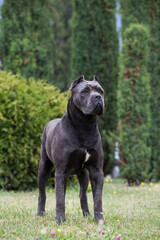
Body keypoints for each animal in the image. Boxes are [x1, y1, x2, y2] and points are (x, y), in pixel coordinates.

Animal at [37, 76, 105, 224]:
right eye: (85, 91)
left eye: (101, 91)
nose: (97, 97)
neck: (84, 125)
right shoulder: (61, 171)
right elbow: (60, 199)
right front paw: (60, 220)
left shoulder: (96, 171)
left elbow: (98, 199)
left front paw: (100, 220)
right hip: (43, 167)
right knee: (42, 193)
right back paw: (40, 213)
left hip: (83, 174)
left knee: (82, 194)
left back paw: (87, 214)